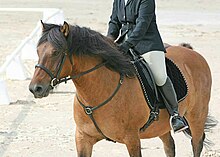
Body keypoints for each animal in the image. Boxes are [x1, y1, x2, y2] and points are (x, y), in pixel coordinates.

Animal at [28, 21, 217, 157]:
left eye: (55, 52)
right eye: (37, 50)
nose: (35, 88)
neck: (96, 93)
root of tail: (193, 53)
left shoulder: (132, 139)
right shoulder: (83, 138)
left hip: (196, 117)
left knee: (197, 144)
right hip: (162, 126)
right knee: (169, 146)